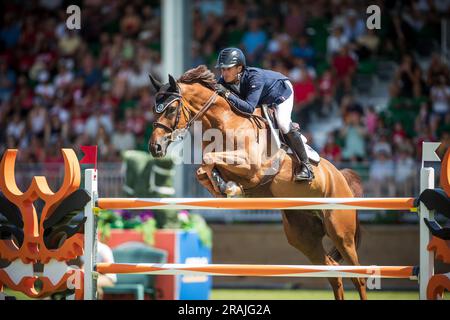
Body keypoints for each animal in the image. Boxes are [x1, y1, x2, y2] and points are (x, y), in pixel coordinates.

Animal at [149, 65, 368, 300]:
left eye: (171, 109)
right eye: (155, 109)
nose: (155, 147)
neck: (225, 120)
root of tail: (340, 177)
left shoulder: (252, 167)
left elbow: (208, 161)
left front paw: (230, 188)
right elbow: (203, 169)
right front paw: (225, 188)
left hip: (341, 232)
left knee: (358, 276)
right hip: (303, 236)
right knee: (333, 273)